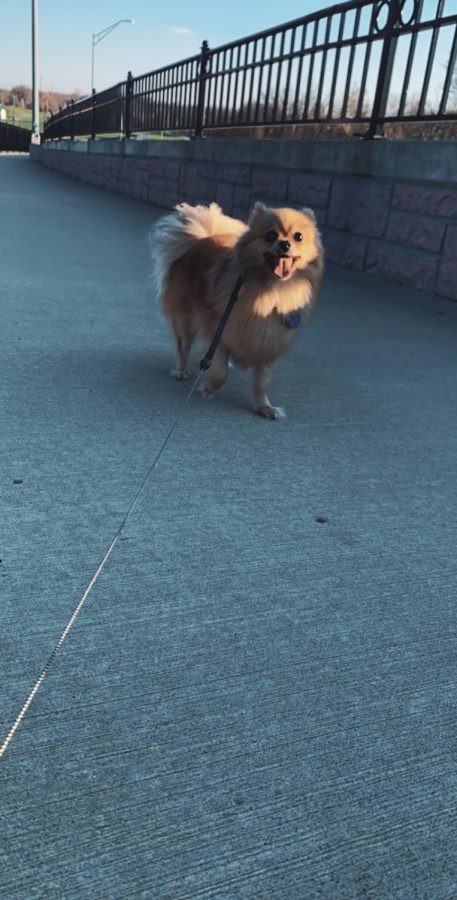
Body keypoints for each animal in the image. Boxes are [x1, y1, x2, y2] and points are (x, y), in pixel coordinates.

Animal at [155, 200, 322, 418]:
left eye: (298, 237)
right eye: (270, 235)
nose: (285, 244)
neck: (270, 292)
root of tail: (200, 240)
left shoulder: (269, 339)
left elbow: (262, 382)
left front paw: (263, 406)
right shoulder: (218, 329)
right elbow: (220, 373)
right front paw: (208, 387)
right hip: (186, 317)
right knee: (183, 345)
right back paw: (182, 370)